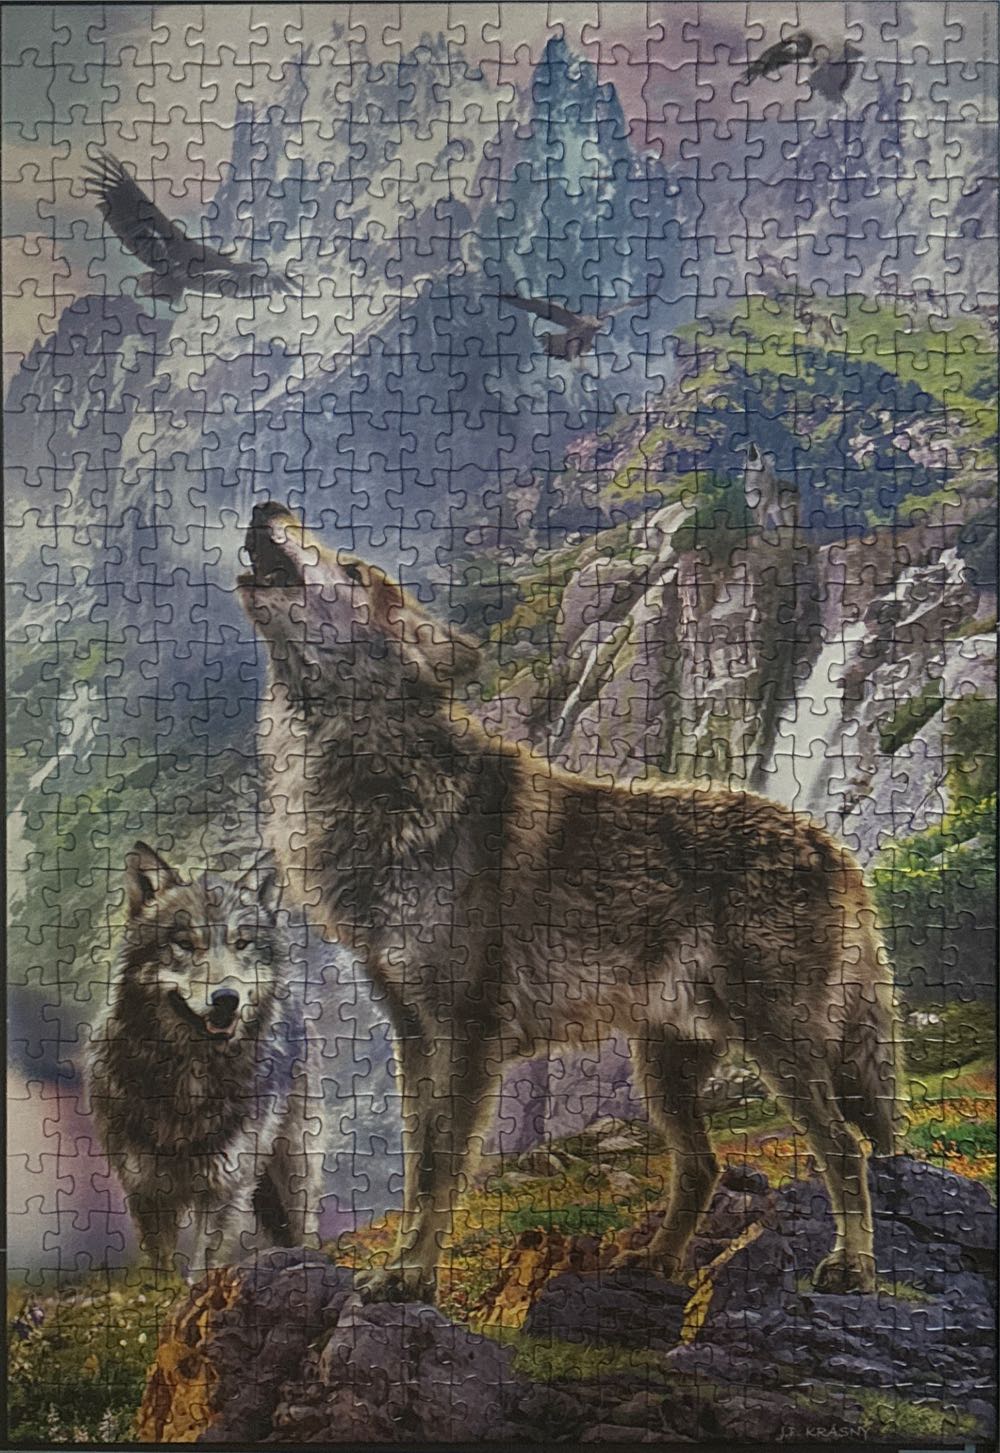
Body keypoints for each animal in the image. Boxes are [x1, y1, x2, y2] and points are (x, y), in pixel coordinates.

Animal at [88, 843, 321, 1276]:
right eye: (184, 943)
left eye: (241, 944)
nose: (227, 998)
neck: (190, 1081)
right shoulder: (146, 1188)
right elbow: (161, 1270)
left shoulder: (223, 1185)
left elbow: (201, 1268)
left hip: (295, 1162)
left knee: (306, 1224)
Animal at [239, 500, 901, 1304]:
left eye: (354, 570)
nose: (268, 508)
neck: (378, 784)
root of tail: (833, 847)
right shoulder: (415, 1034)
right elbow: (418, 1167)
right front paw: (399, 1268)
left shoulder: (466, 1035)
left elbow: (439, 1171)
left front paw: (411, 1276)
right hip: (666, 1065)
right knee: (704, 1163)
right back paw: (656, 1260)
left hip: (778, 1045)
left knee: (846, 1148)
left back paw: (852, 1267)